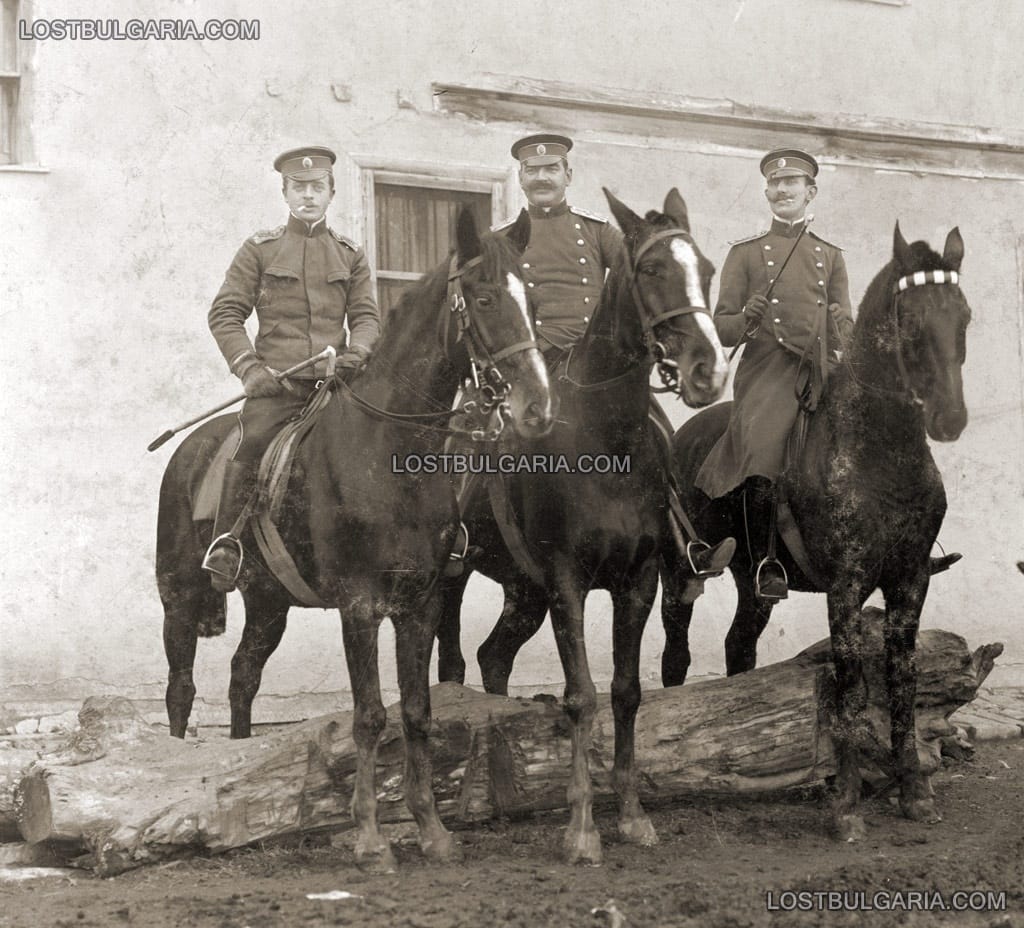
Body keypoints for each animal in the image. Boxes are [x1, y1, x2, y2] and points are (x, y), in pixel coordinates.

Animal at [155, 212, 552, 868]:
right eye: (486, 298)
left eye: (536, 302)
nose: (538, 407)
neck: (391, 451)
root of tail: (192, 448)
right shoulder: (359, 605)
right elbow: (369, 716)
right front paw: (369, 839)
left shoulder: (422, 604)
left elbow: (416, 712)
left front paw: (431, 830)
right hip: (180, 598)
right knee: (182, 687)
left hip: (269, 604)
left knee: (242, 676)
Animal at [432, 188, 729, 860]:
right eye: (652, 269)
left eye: (706, 268)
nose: (708, 370)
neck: (605, 440)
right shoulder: (568, 582)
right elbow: (582, 695)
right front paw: (581, 828)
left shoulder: (637, 582)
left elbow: (625, 691)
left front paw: (632, 815)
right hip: (455, 583)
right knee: (453, 664)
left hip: (524, 592)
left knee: (493, 658)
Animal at [659, 224, 970, 839]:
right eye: (912, 321)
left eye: (965, 316)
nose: (950, 419)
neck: (881, 453)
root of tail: (683, 435)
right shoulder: (846, 584)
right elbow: (849, 681)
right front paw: (846, 803)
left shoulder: (910, 580)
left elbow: (902, 677)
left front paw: (913, 790)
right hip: (681, 573)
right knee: (675, 651)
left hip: (754, 582)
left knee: (739, 644)